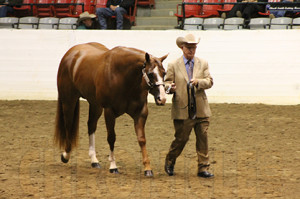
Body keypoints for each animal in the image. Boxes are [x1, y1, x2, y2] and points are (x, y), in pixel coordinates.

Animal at [55, 42, 168, 176]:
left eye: (164, 73)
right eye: (150, 74)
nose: (162, 98)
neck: (123, 76)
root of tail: (71, 53)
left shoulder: (141, 112)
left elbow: (142, 139)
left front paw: (147, 168)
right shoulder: (109, 111)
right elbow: (111, 138)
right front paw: (113, 166)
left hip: (95, 105)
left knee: (91, 125)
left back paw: (94, 160)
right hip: (69, 100)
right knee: (68, 125)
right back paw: (66, 155)